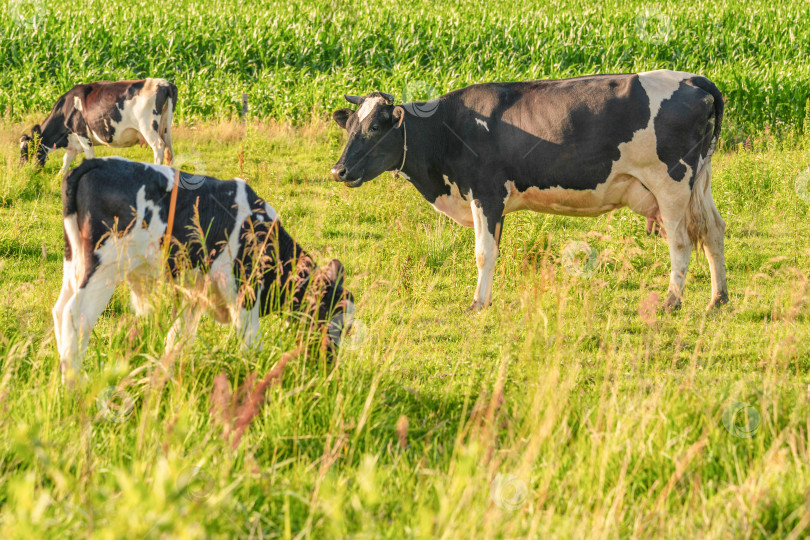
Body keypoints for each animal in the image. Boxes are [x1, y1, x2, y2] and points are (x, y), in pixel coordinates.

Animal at [20, 78, 177, 174]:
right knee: (169, 151)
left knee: (158, 146)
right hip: (165, 128)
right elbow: (65, 161)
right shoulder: (73, 143)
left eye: (26, 150)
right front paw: (58, 178)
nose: (23, 170)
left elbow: (89, 157)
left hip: (147, 126)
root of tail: (164, 83)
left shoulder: (82, 133)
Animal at [53, 156, 350, 384]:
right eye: (332, 316)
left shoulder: (195, 294)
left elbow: (177, 339)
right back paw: (75, 385)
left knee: (59, 310)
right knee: (75, 315)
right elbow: (250, 343)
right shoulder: (244, 293)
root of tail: (95, 162)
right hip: (104, 267)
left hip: (75, 263)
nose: (330, 365)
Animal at [332, 69, 728, 312]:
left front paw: (477, 303)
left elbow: (483, 253)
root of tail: (693, 79)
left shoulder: (486, 193)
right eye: (350, 126)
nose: (338, 170)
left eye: (375, 127)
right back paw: (718, 300)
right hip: (701, 181)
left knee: (681, 241)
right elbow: (493, 251)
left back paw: (671, 301)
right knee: (713, 231)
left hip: (671, 183)